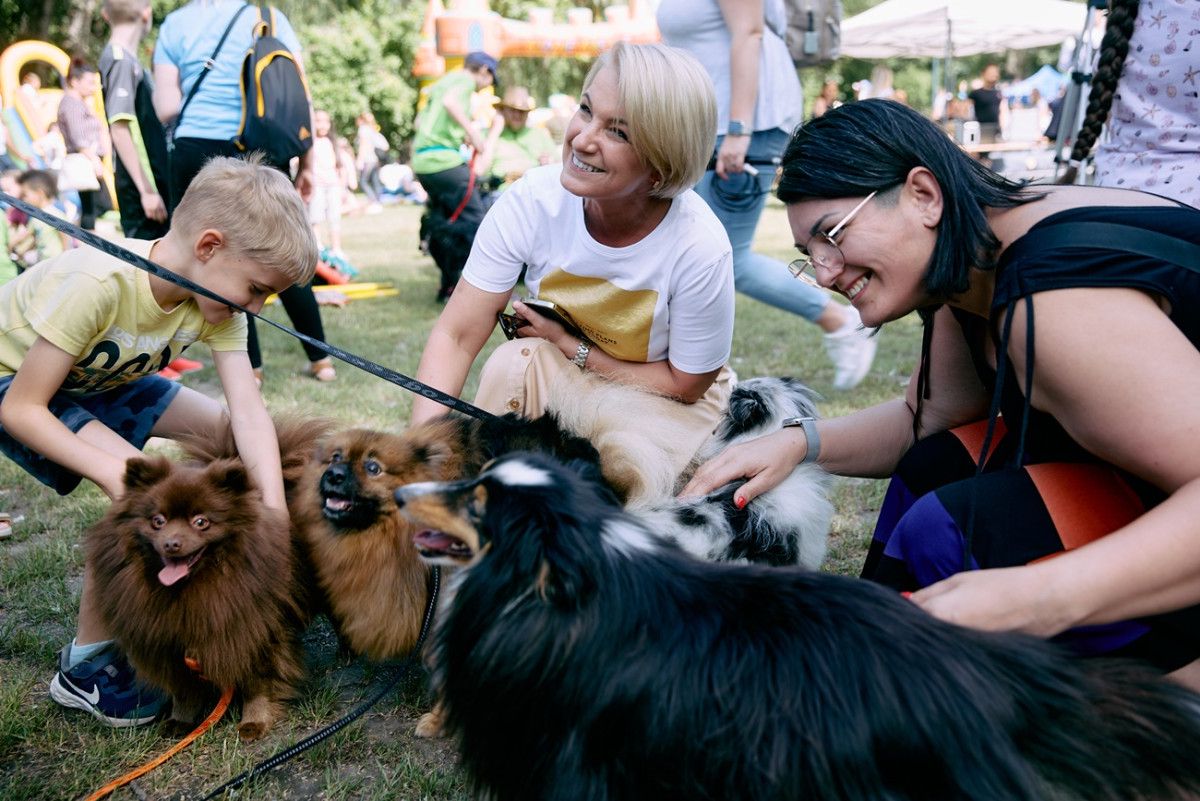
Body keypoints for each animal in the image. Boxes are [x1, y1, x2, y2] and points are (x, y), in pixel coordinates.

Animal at [90, 453, 312, 743]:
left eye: (201, 522)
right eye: (158, 521)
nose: (171, 543)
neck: (189, 593)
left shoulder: (256, 634)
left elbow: (257, 684)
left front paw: (254, 722)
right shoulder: (171, 647)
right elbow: (184, 691)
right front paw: (181, 721)